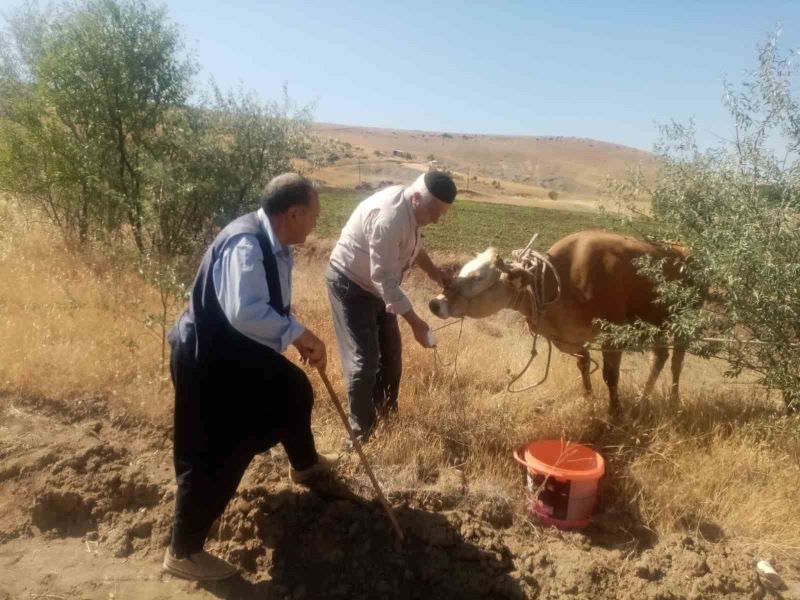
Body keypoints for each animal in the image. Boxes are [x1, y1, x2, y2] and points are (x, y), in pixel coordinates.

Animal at [428, 230, 692, 412]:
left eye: (477, 277)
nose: (435, 304)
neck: (561, 284)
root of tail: (681, 248)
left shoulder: (612, 334)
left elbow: (610, 376)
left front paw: (614, 412)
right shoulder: (571, 337)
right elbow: (583, 366)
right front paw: (588, 399)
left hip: (683, 322)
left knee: (676, 361)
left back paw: (674, 401)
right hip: (657, 322)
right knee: (660, 357)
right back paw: (643, 400)